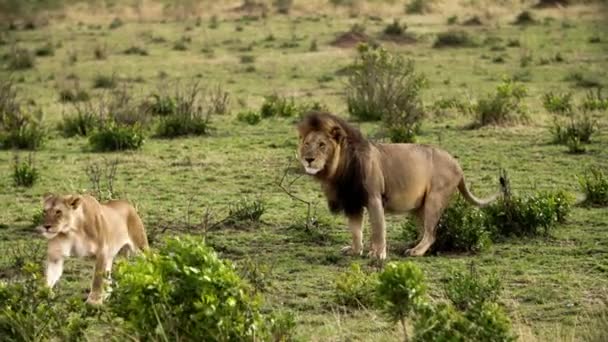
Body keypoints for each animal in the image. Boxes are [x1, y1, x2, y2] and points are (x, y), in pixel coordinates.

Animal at [296, 112, 502, 260]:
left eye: (322, 145)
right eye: (307, 143)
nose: (308, 159)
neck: (338, 169)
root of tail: (457, 164)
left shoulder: (374, 198)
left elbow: (378, 228)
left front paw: (378, 254)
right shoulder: (352, 202)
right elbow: (355, 231)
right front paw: (355, 250)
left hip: (435, 199)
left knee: (431, 232)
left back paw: (416, 251)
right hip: (419, 207)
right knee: (429, 231)